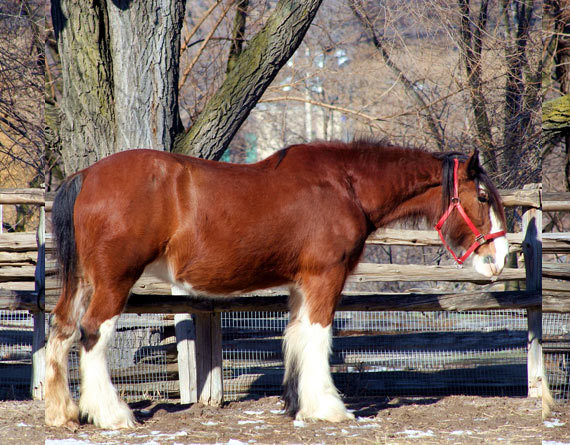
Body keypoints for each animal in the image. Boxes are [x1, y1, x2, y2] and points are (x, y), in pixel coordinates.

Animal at [44, 140, 506, 428]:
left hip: (82, 281)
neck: (345, 186)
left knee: (61, 330)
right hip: (113, 281)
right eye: (483, 197)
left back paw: (61, 413)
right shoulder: (325, 276)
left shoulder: (301, 283)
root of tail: (86, 175)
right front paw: (329, 408)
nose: (499, 259)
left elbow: (297, 337)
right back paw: (111, 414)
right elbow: (318, 336)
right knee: (92, 334)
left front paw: (298, 404)